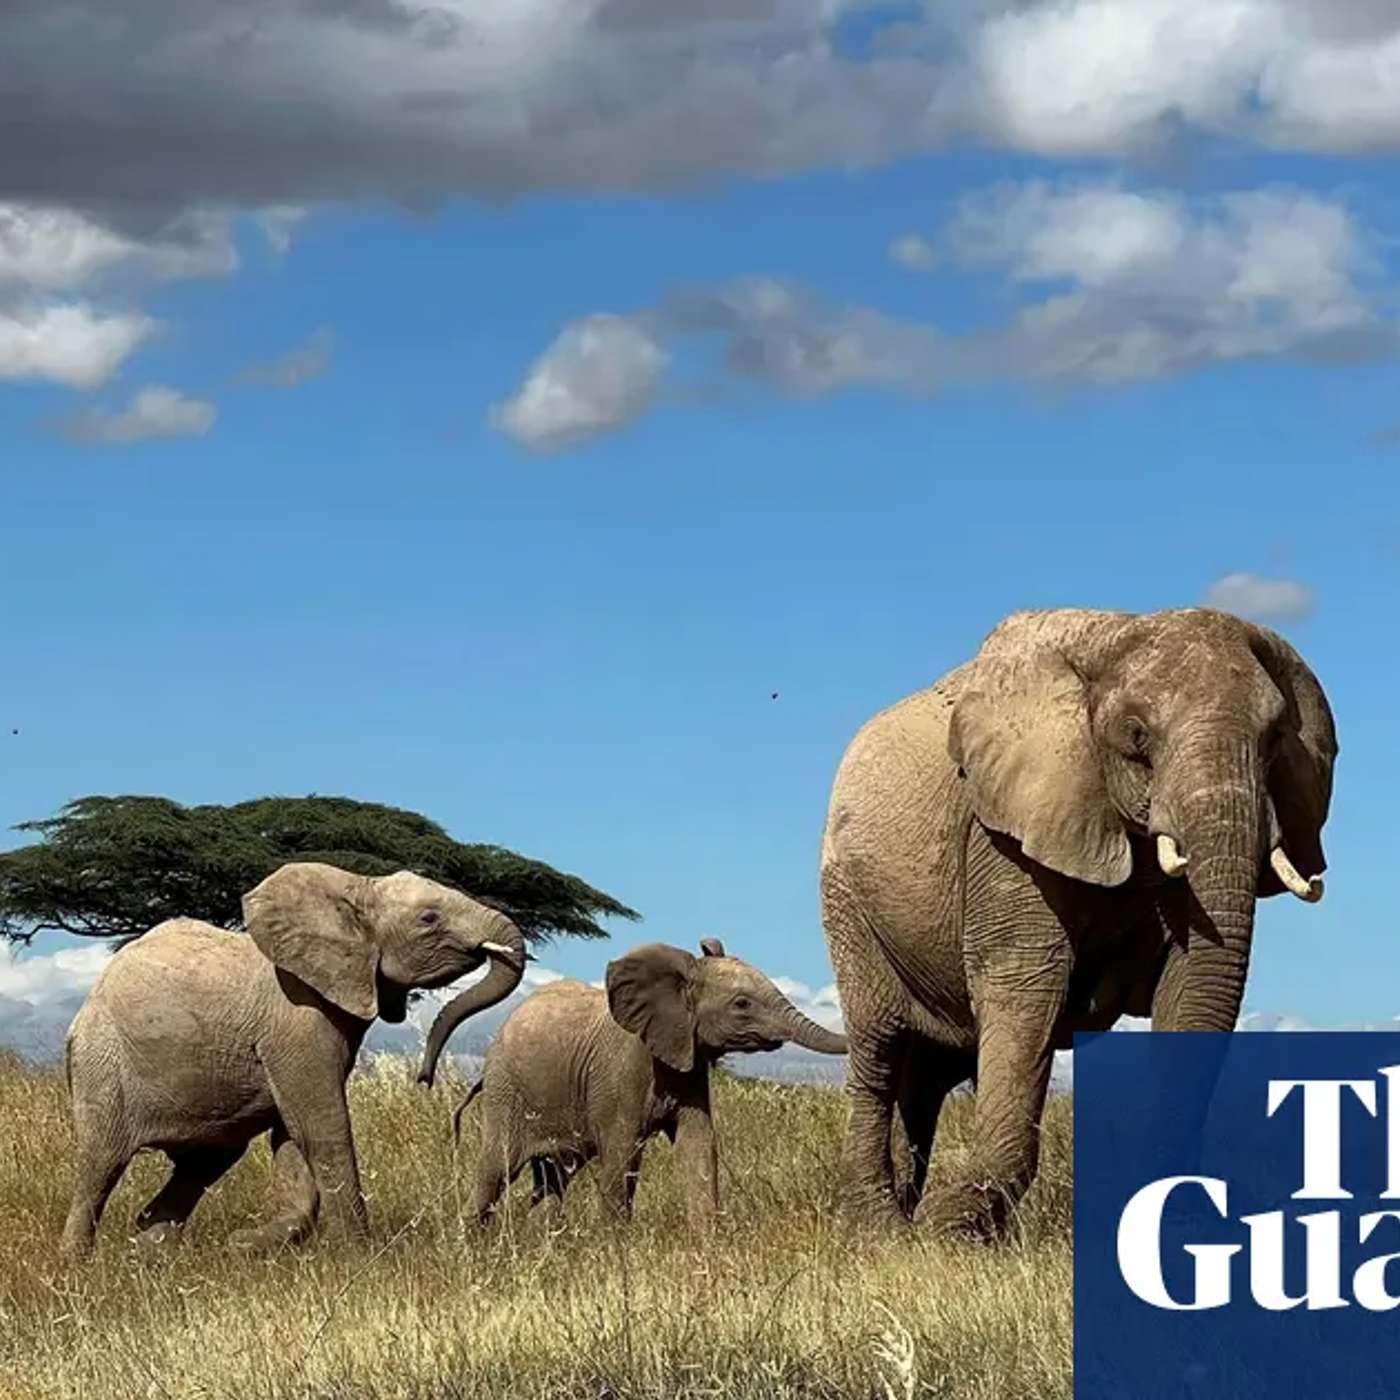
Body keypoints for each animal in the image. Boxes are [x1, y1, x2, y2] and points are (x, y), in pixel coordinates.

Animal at [61, 861, 526, 1258]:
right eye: (429, 919)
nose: (423, 1079)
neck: (357, 888)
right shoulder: (297, 1015)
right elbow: (321, 1125)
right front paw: (361, 1255)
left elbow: (291, 1133)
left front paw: (247, 1244)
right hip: (103, 1061)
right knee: (101, 1162)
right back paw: (77, 1264)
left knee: (204, 1163)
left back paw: (148, 1254)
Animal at [421, 937, 848, 1226]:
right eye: (742, 1004)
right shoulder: (623, 1070)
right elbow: (623, 1152)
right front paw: (614, 1247)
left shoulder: (688, 1062)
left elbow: (699, 1144)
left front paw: (708, 1239)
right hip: (507, 1091)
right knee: (496, 1168)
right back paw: (473, 1245)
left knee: (553, 1178)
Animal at [820, 607, 1336, 1236]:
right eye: (1137, 737)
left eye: (1274, 742)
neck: (1117, 634)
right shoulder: (1005, 831)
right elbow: (1025, 986)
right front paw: (953, 1230)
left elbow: (1192, 986)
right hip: (847, 898)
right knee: (879, 1046)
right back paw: (879, 1227)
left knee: (927, 1075)